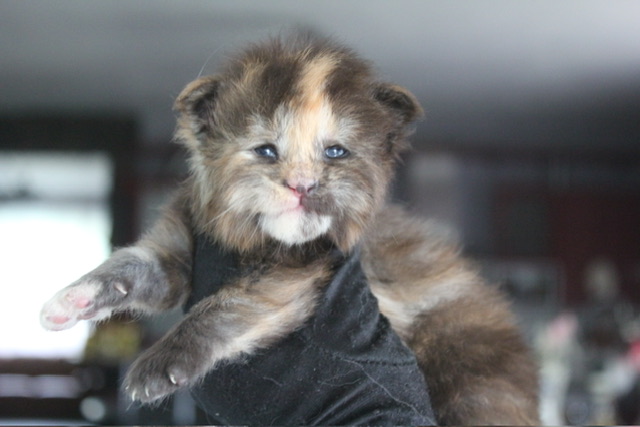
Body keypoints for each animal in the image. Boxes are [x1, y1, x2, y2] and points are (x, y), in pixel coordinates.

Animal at [40, 35, 539, 425]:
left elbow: (228, 306)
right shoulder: (181, 246)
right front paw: (70, 301)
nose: (303, 185)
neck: (256, 239)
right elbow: (132, 266)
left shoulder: (304, 270)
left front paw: (159, 365)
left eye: (335, 152)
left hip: (467, 363)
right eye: (266, 151)